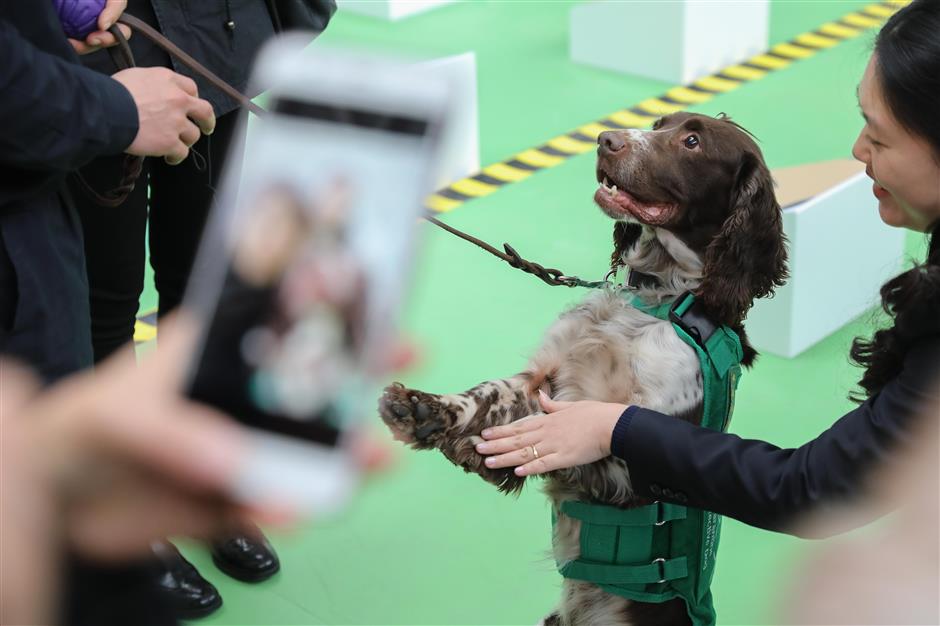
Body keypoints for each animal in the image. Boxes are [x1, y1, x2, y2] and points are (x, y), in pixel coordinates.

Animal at [374, 113, 784, 624]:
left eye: (692, 141)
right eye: (658, 124)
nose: (607, 140)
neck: (658, 297)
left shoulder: (632, 466)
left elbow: (582, 433)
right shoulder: (546, 376)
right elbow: (490, 394)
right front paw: (421, 410)